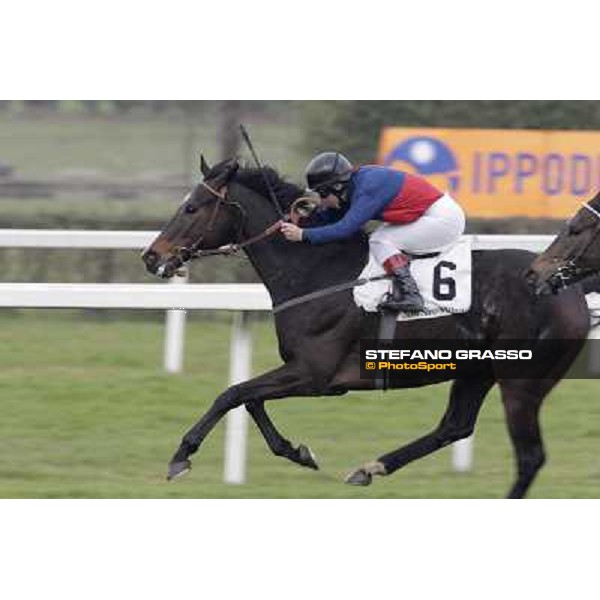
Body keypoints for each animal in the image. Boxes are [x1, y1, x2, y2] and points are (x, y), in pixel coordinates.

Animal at [142, 158, 592, 496]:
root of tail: (566, 287)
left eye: (192, 208)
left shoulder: (315, 374)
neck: (316, 271)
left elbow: (232, 394)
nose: (151, 256)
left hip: (521, 380)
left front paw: (181, 456)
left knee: (527, 454)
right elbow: (249, 400)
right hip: (477, 369)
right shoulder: (308, 374)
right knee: (455, 425)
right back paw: (371, 467)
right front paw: (297, 452)